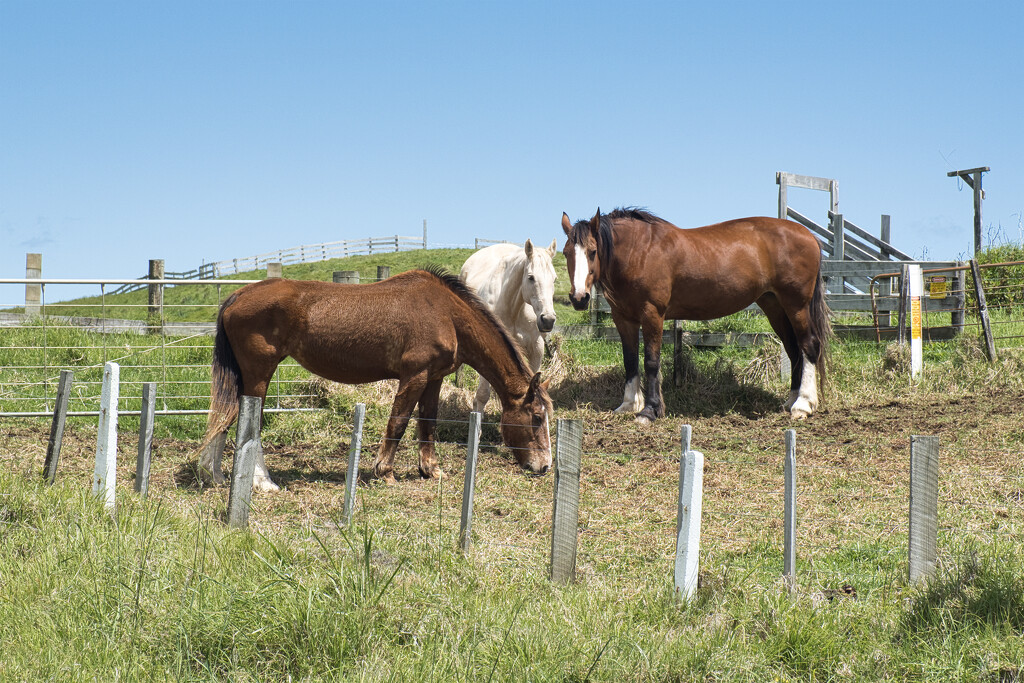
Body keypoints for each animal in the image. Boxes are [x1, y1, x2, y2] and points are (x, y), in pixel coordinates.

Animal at [196, 264, 557, 489]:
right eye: (537, 417)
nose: (545, 466)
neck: (446, 313)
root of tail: (237, 296)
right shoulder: (414, 376)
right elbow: (398, 422)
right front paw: (385, 472)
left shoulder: (434, 379)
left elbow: (428, 423)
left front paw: (430, 470)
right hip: (259, 373)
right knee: (250, 421)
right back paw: (262, 481)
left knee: (227, 417)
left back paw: (215, 475)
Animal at [464, 237, 561, 413]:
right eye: (531, 277)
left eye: (554, 279)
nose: (548, 319)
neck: (513, 310)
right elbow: (482, 395)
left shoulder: (536, 349)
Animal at [561, 206, 831, 421]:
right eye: (566, 253)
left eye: (592, 251)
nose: (579, 298)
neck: (640, 251)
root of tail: (809, 235)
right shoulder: (623, 318)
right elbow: (630, 361)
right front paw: (628, 404)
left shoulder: (652, 314)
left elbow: (651, 362)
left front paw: (650, 410)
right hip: (774, 306)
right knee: (793, 349)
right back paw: (791, 400)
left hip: (797, 305)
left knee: (809, 346)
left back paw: (803, 405)